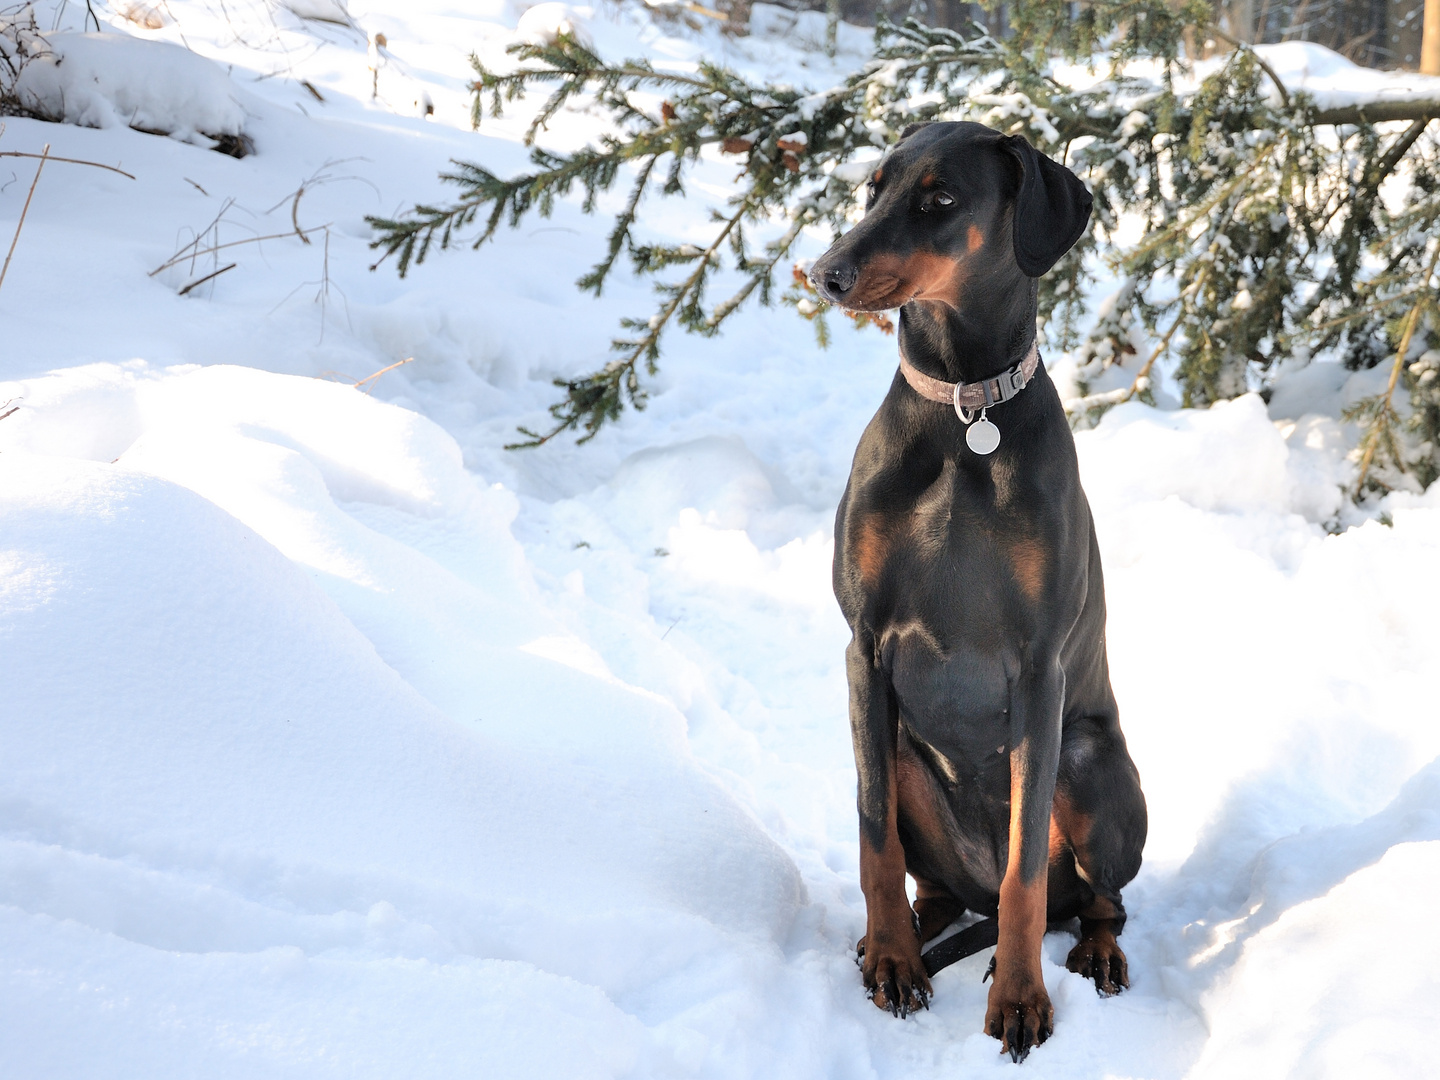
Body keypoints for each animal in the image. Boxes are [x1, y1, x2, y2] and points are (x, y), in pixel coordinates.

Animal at [812, 122, 1146, 1059]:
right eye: (873, 189)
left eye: (940, 198)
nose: (826, 271)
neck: (965, 412)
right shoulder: (864, 648)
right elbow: (873, 837)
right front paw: (893, 963)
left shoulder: (1038, 669)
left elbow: (1025, 870)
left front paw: (1021, 999)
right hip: (901, 748)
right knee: (937, 885)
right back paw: (901, 938)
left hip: (1092, 768)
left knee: (1093, 901)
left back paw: (1089, 954)